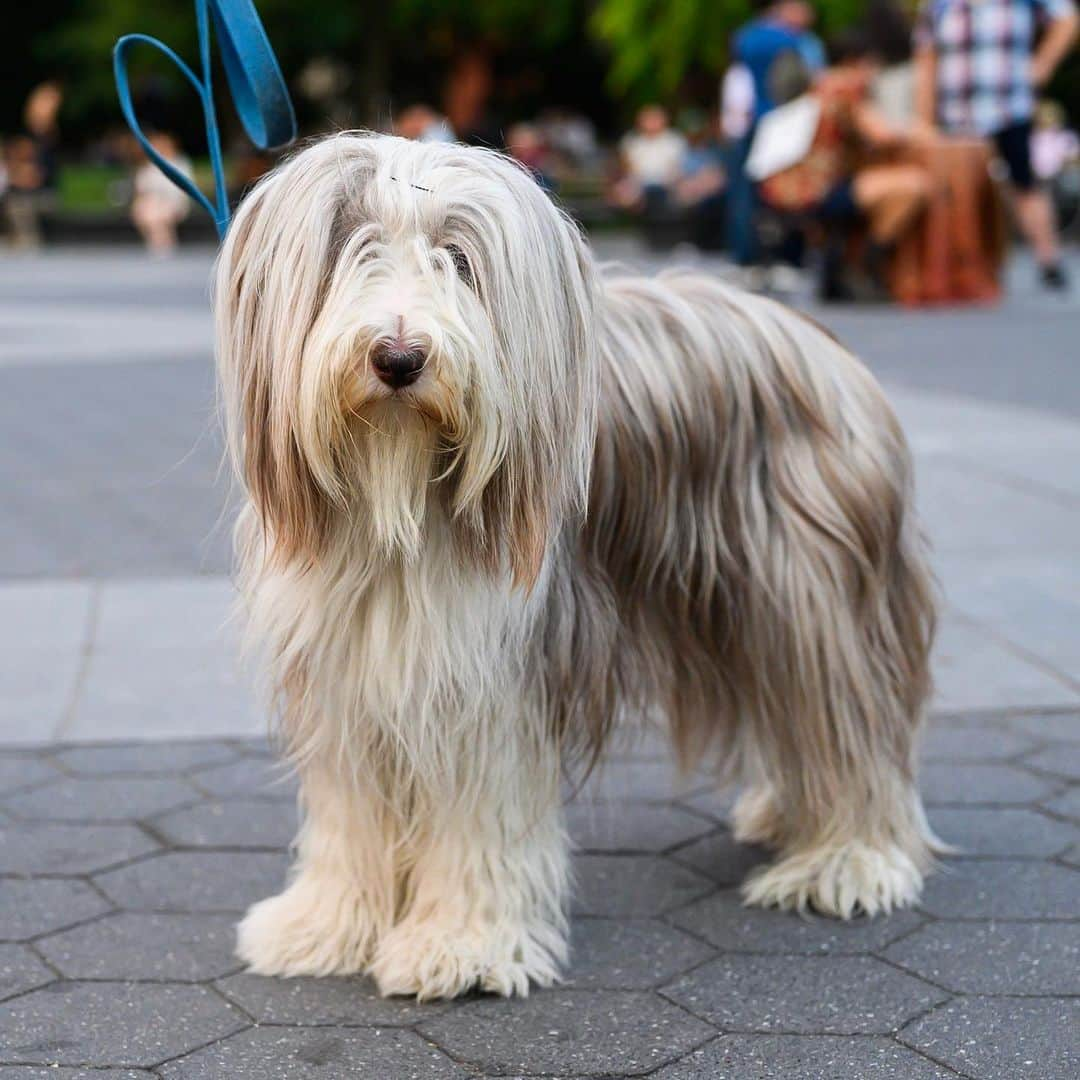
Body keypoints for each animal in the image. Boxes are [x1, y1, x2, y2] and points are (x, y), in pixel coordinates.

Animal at [214, 130, 941, 997]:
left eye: (458, 259)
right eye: (354, 247)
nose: (399, 357)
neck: (402, 500)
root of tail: (823, 346)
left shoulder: (492, 680)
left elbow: (480, 810)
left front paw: (462, 944)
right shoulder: (346, 671)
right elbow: (351, 812)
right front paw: (326, 925)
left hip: (810, 599)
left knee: (845, 721)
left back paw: (849, 857)